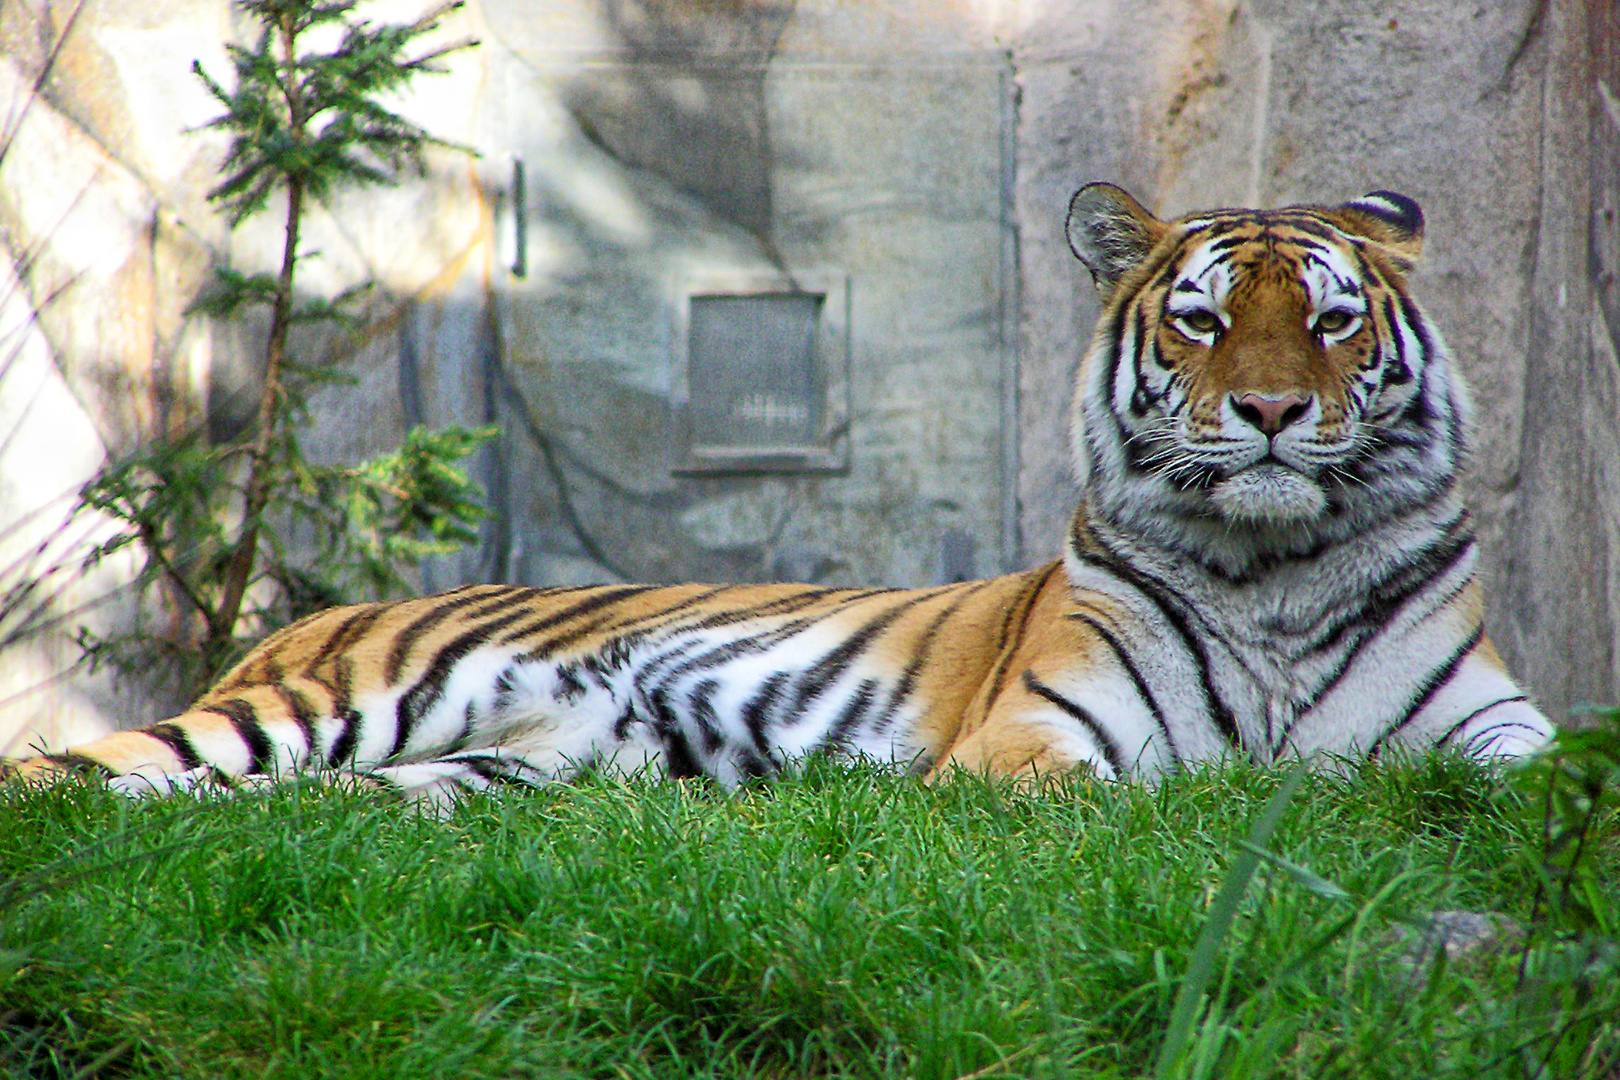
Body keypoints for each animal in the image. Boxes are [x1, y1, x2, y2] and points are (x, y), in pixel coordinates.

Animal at [3, 181, 1555, 803]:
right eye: (1202, 322)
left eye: (1334, 322)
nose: (1275, 413)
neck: (1276, 572)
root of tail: (294, 623)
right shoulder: (1038, 740)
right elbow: (1141, 800)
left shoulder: (1496, 726)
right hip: (331, 703)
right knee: (77, 776)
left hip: (484, 773)